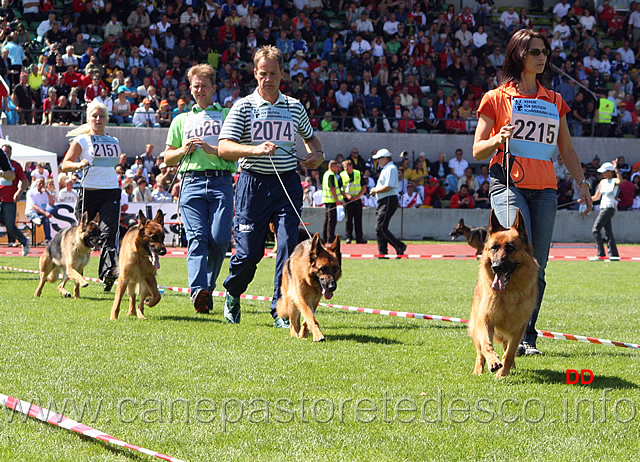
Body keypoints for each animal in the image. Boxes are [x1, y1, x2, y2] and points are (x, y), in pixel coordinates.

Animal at [468, 208, 536, 376]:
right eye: (494, 247)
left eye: (510, 248)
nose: (496, 267)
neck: (508, 292)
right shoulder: (485, 320)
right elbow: (487, 344)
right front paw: (493, 362)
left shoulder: (518, 328)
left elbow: (510, 352)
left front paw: (503, 372)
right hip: (476, 324)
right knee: (480, 351)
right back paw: (478, 370)